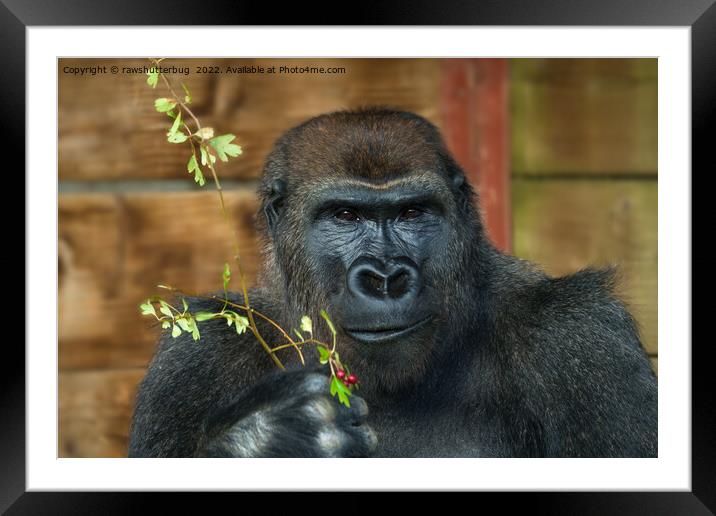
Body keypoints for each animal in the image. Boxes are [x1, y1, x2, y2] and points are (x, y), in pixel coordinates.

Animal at [127, 107, 656, 458]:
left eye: (412, 213)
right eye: (344, 215)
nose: (385, 278)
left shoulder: (579, 335)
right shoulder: (199, 352)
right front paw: (268, 440)